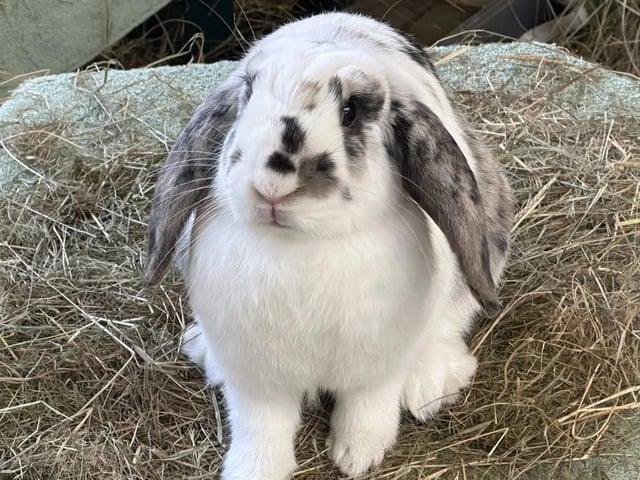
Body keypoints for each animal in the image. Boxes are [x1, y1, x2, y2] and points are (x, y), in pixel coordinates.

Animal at [144, 11, 514, 480]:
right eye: (247, 96)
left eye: (350, 111)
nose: (271, 185)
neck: (302, 245)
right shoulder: (255, 378)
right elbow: (261, 427)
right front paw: (254, 470)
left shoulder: (377, 367)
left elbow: (367, 409)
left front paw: (357, 456)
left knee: (448, 322)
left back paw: (429, 387)